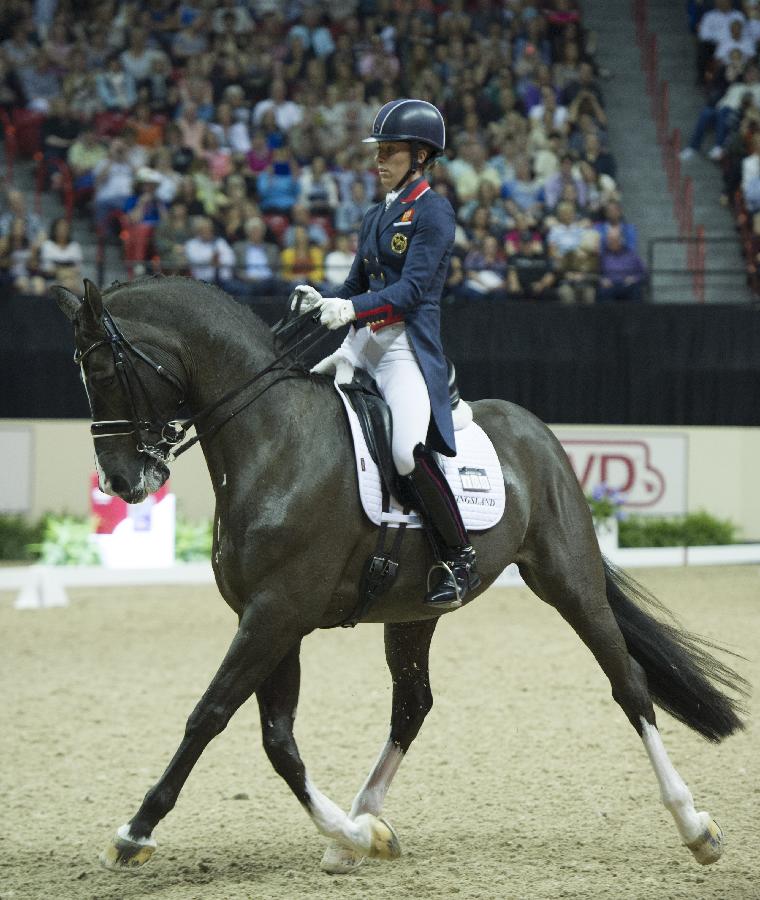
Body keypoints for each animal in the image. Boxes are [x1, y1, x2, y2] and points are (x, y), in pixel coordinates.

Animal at [52, 276, 748, 876]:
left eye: (104, 370)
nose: (119, 482)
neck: (272, 441)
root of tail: (538, 432)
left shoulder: (275, 612)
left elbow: (210, 714)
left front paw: (133, 833)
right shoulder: (273, 618)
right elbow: (279, 741)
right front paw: (360, 836)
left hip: (568, 579)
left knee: (628, 683)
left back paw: (696, 828)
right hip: (415, 612)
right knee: (412, 705)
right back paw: (359, 828)